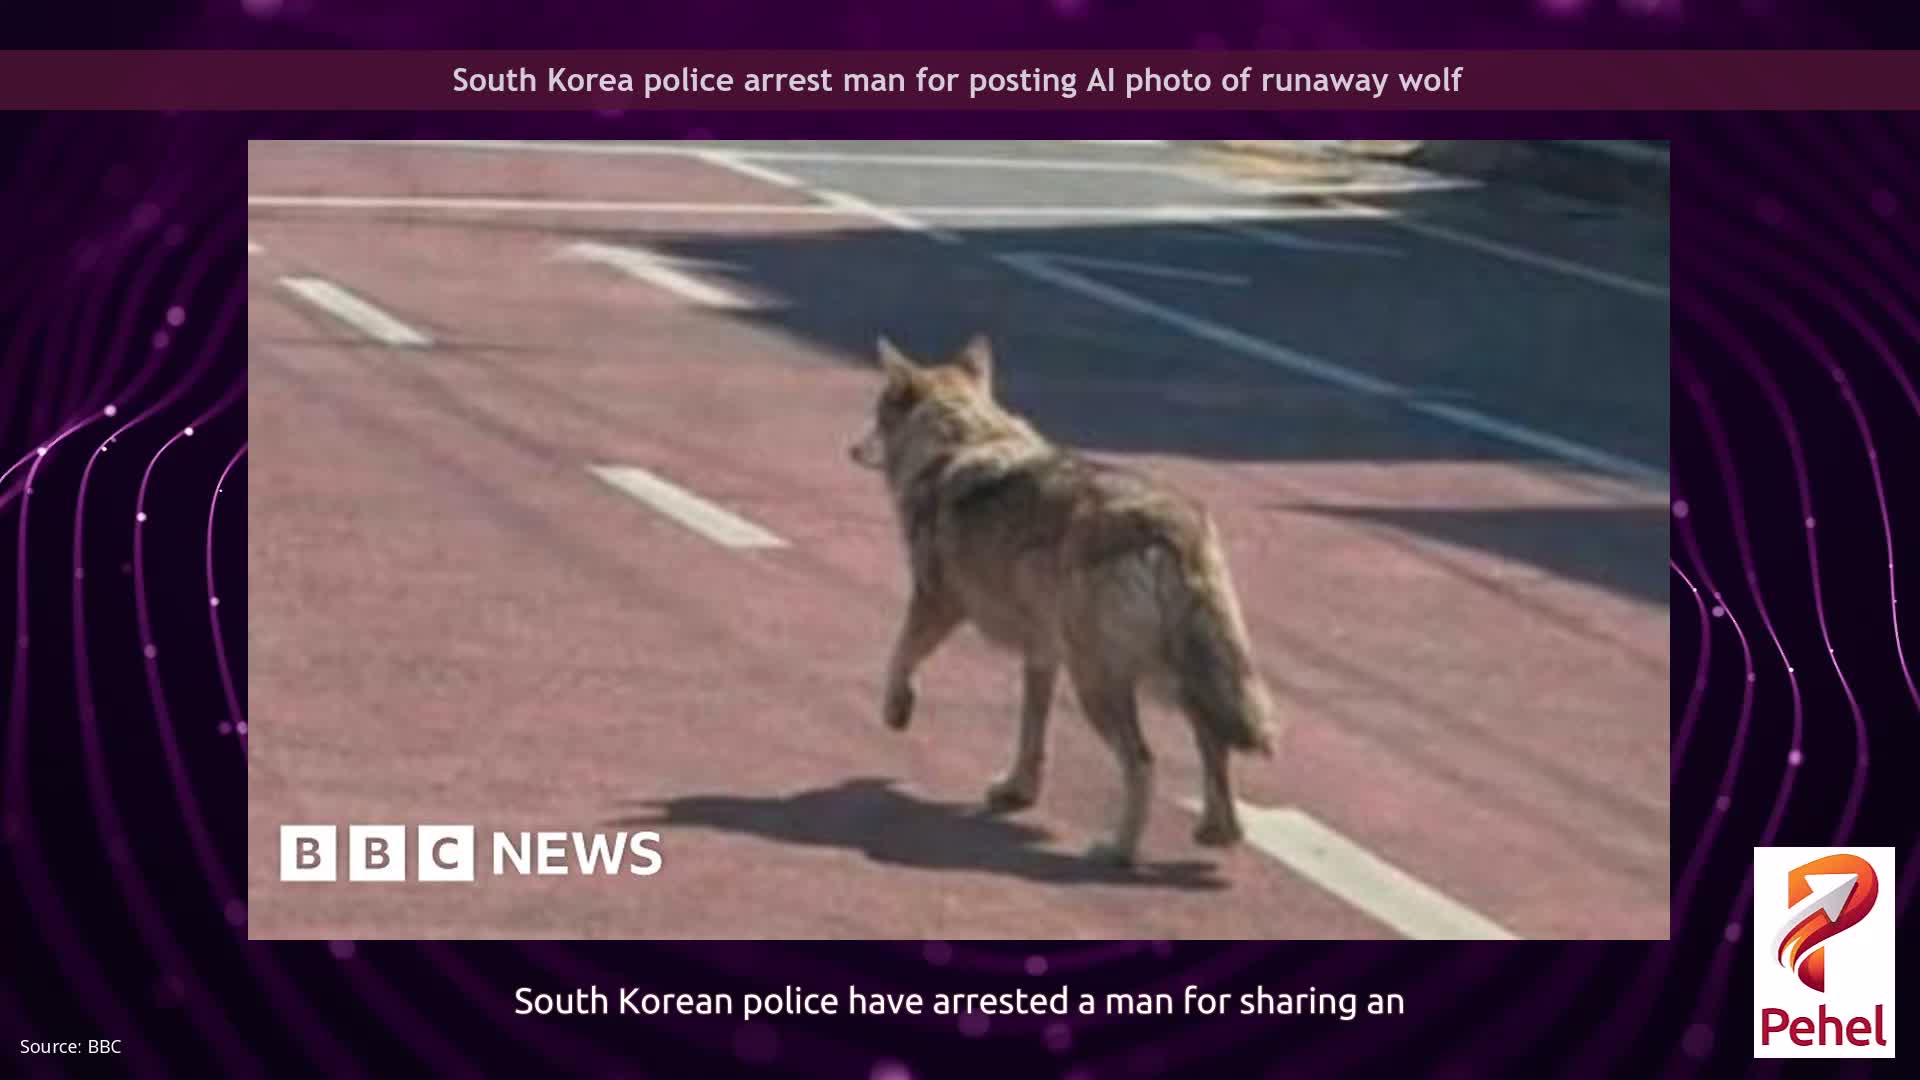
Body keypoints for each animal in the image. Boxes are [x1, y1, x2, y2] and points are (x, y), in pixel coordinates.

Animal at [848, 334, 1277, 865]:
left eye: (877, 413)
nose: (850, 448)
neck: (960, 441)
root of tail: (1172, 525)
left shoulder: (937, 603)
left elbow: (899, 656)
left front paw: (897, 711)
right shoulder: (1041, 653)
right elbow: (1031, 733)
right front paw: (1018, 790)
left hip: (1100, 682)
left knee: (1143, 763)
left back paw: (1118, 850)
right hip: (1171, 677)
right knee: (1213, 742)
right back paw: (1218, 832)